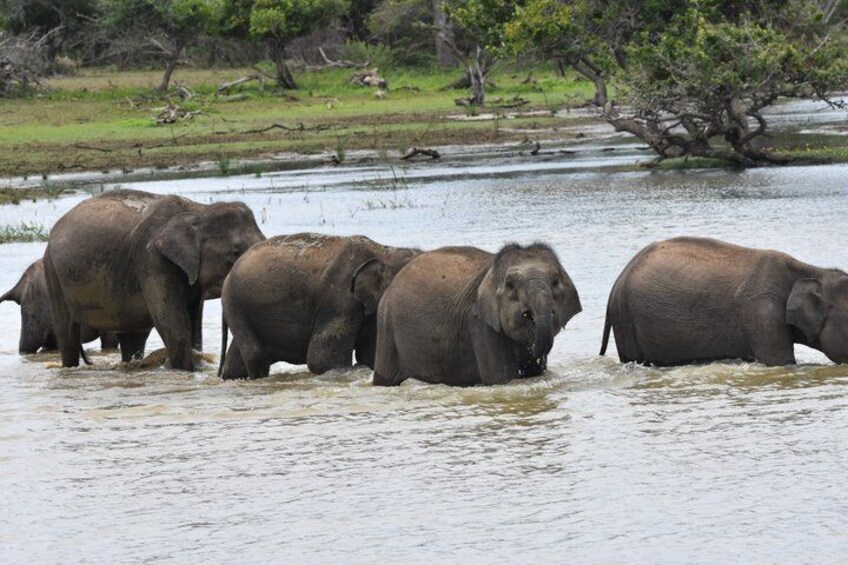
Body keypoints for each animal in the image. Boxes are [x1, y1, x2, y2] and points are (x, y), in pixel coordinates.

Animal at [44, 188, 264, 370]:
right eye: (235, 252)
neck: (198, 210)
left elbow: (194, 323)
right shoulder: (151, 259)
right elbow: (175, 325)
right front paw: (183, 370)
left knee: (132, 336)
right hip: (52, 273)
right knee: (67, 333)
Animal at [218, 233, 420, 380]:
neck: (385, 251)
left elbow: (369, 354)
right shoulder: (340, 300)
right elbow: (322, 360)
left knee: (236, 361)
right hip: (235, 304)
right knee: (256, 355)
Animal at [373, 243, 582, 387]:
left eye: (555, 282)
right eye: (510, 285)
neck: (492, 270)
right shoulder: (480, 324)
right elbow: (501, 378)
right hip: (386, 324)